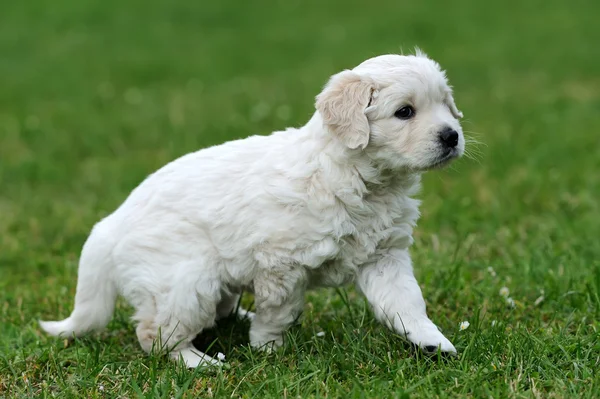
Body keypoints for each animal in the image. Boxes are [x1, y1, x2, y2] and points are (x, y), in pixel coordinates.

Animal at [41, 50, 464, 368]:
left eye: (446, 104)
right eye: (404, 112)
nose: (452, 136)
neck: (365, 181)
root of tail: (111, 223)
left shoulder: (383, 255)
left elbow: (407, 303)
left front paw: (432, 342)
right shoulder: (281, 262)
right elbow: (281, 310)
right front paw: (268, 349)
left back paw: (235, 321)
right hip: (185, 280)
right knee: (156, 334)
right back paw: (200, 363)